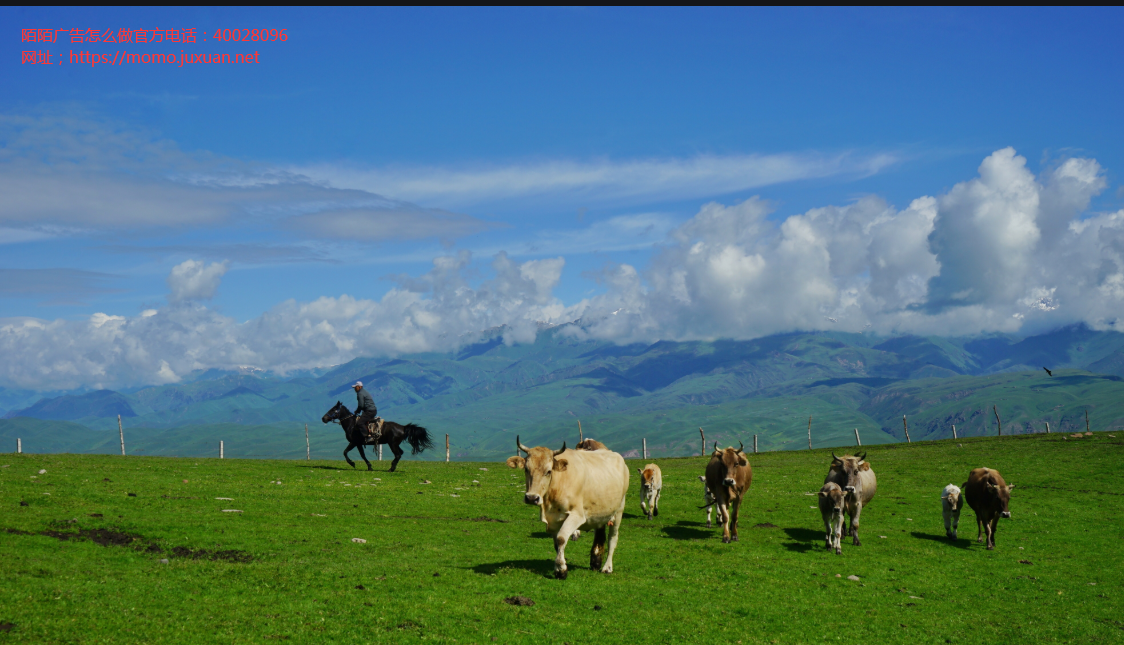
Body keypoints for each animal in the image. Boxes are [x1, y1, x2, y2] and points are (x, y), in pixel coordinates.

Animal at [514, 438, 629, 579]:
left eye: (549, 471)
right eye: (526, 469)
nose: (531, 498)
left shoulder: (577, 515)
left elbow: (561, 538)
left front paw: (561, 570)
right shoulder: (553, 520)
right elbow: (557, 544)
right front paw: (561, 566)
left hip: (618, 511)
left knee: (612, 538)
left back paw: (607, 567)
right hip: (600, 510)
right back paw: (596, 561)